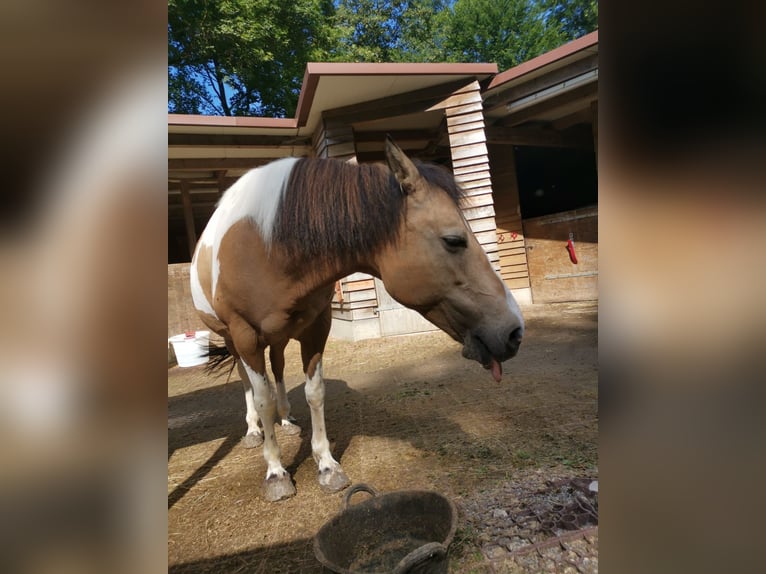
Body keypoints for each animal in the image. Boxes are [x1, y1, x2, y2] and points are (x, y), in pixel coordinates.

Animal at [190, 137, 524, 502]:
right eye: (454, 240)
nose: (514, 331)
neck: (266, 247)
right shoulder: (246, 335)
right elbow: (262, 399)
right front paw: (276, 473)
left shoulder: (316, 328)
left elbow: (315, 392)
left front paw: (326, 465)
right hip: (233, 339)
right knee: (247, 382)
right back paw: (253, 430)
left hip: (278, 338)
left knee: (277, 370)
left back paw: (288, 420)